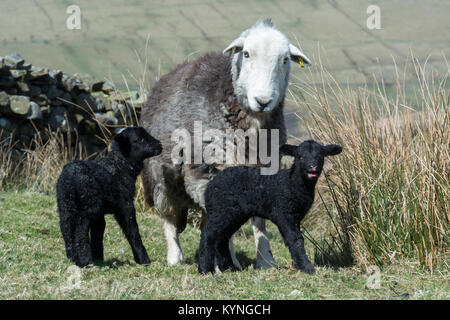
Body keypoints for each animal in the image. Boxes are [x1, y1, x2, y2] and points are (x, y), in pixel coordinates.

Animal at [56, 126, 162, 266]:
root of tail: (70, 176)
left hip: (66, 204)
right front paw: (143, 259)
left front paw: (98, 257)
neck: (121, 166)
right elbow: (132, 230)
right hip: (88, 204)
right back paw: (85, 260)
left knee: (66, 227)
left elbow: (98, 231)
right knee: (80, 228)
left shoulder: (100, 213)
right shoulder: (126, 205)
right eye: (139, 139)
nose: (160, 145)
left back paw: (73, 257)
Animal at [140, 18, 310, 270]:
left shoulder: (263, 169)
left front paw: (265, 260)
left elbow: (259, 221)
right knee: (169, 216)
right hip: (161, 175)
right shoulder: (206, 171)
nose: (263, 100)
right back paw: (176, 257)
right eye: (246, 54)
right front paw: (224, 262)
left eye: (285, 59)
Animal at [199, 140, 342, 276]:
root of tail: (209, 187)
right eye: (300, 156)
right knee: (209, 234)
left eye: (321, 156)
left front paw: (300, 265)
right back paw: (205, 269)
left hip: (235, 214)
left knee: (222, 238)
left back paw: (230, 267)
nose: (313, 167)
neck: (292, 183)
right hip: (221, 210)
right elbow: (295, 239)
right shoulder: (283, 212)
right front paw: (306, 267)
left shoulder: (296, 216)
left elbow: (297, 238)